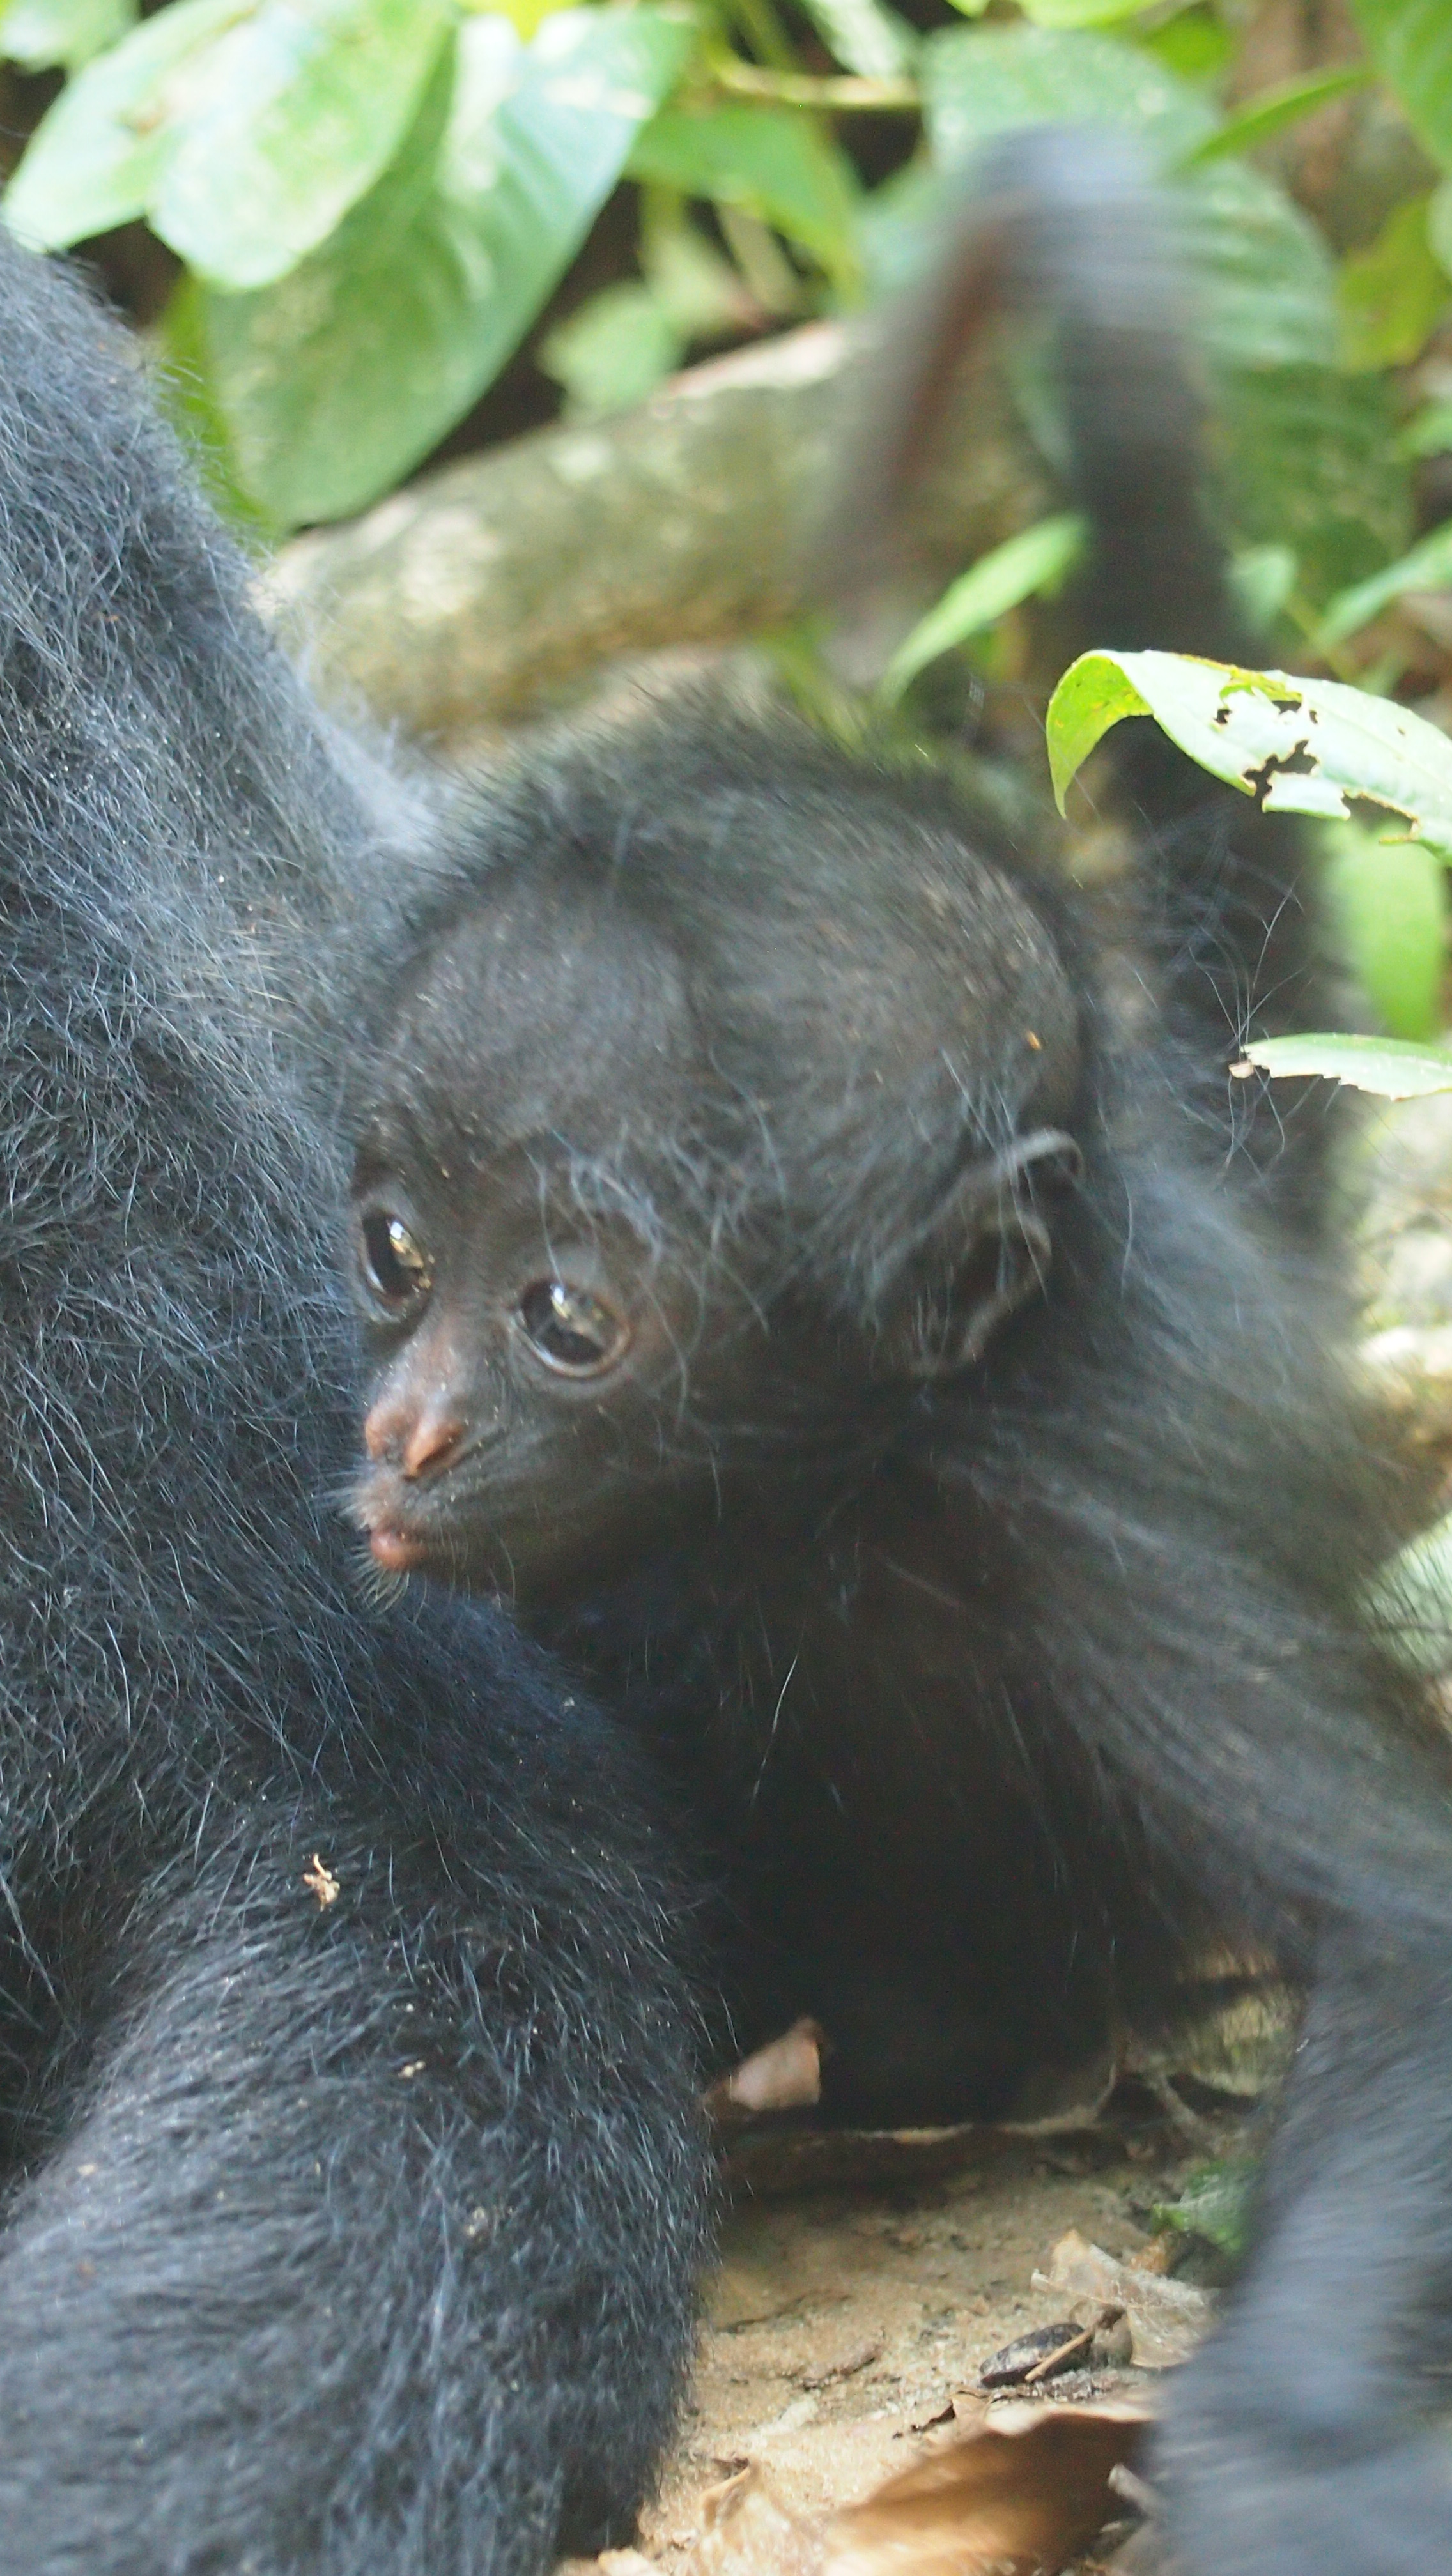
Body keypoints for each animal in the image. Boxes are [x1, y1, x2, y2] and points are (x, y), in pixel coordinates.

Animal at [344, 133, 1452, 2576]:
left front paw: (1283, 2451)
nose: (406, 1423)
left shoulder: (1094, 1537)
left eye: (566, 1317)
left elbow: (1410, 1941)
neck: (830, 1493)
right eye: (394, 1249)